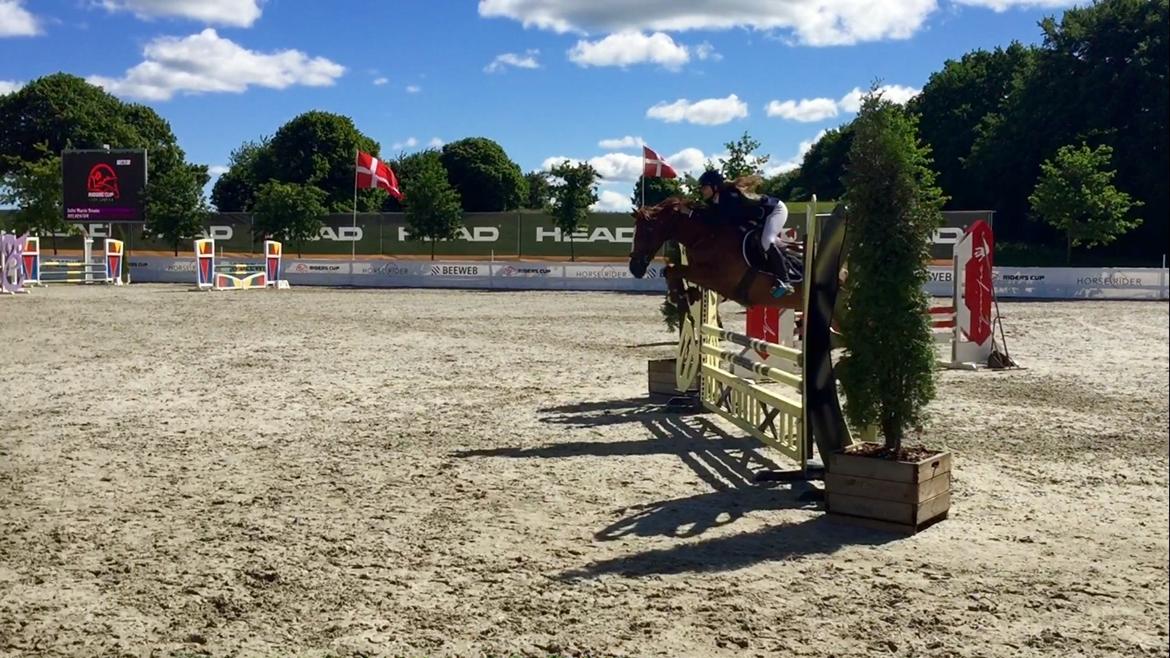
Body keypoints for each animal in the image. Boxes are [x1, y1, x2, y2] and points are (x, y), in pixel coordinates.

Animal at [627, 194, 809, 309]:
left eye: (648, 230)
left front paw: (678, 296)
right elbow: (670, 270)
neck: (706, 236)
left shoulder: (718, 278)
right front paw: (685, 294)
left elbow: (673, 269)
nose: (634, 268)